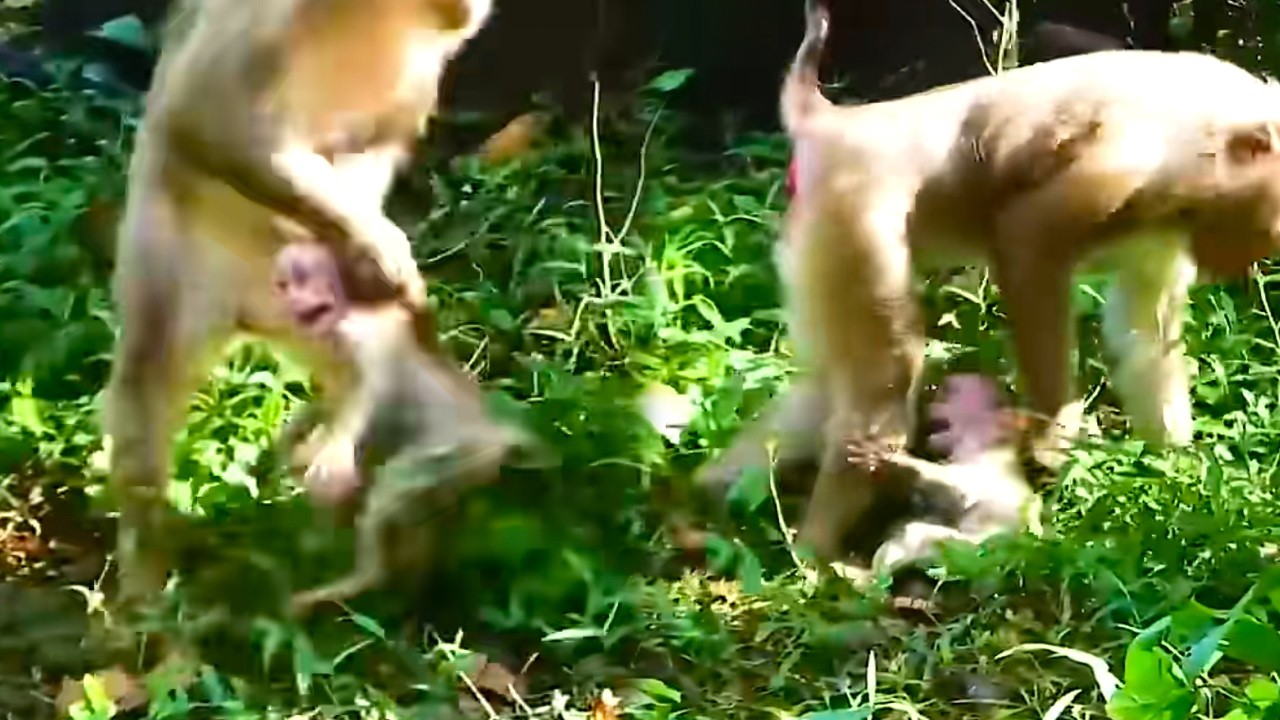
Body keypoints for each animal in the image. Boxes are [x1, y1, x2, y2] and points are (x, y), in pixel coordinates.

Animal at [100, 0, 494, 618]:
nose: (467, 10)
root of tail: (248, 308)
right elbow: (208, 112)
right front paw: (376, 243)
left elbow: (381, 138)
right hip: (175, 255)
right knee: (148, 378)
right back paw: (144, 580)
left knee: (381, 357)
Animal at [269, 241, 544, 617]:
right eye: (284, 284)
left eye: (300, 278)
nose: (293, 301)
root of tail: (497, 439)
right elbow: (334, 406)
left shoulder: (367, 343)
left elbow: (368, 395)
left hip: (455, 456)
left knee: (391, 494)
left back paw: (362, 581)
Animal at [774, 0, 1280, 564]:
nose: (1237, 261)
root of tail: (833, 124)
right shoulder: (1143, 163)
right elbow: (1028, 243)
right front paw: (1050, 440)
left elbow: (1143, 328)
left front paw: (1176, 474)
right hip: (852, 217)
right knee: (882, 378)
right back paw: (818, 548)